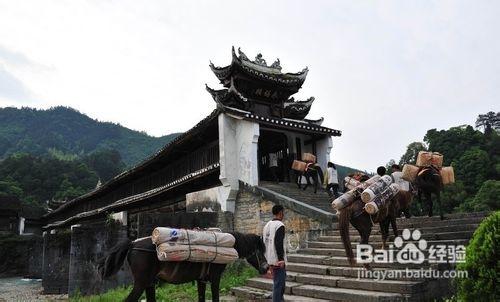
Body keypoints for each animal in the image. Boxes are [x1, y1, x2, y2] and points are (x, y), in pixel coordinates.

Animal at [98, 232, 270, 300]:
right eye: (259, 250)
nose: (266, 268)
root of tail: (133, 244)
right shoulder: (215, 279)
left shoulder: (201, 280)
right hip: (140, 283)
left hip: (149, 283)